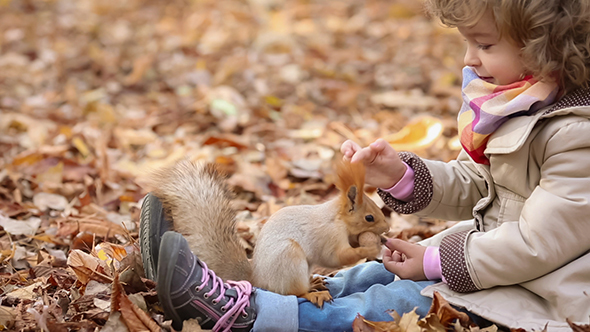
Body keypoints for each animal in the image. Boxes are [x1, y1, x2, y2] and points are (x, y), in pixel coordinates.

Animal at [146, 160, 390, 308]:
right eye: (369, 217)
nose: (387, 229)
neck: (337, 218)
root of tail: (258, 280)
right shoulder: (328, 235)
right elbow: (335, 257)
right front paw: (369, 247)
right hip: (289, 258)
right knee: (293, 293)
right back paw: (311, 293)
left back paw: (313, 284)